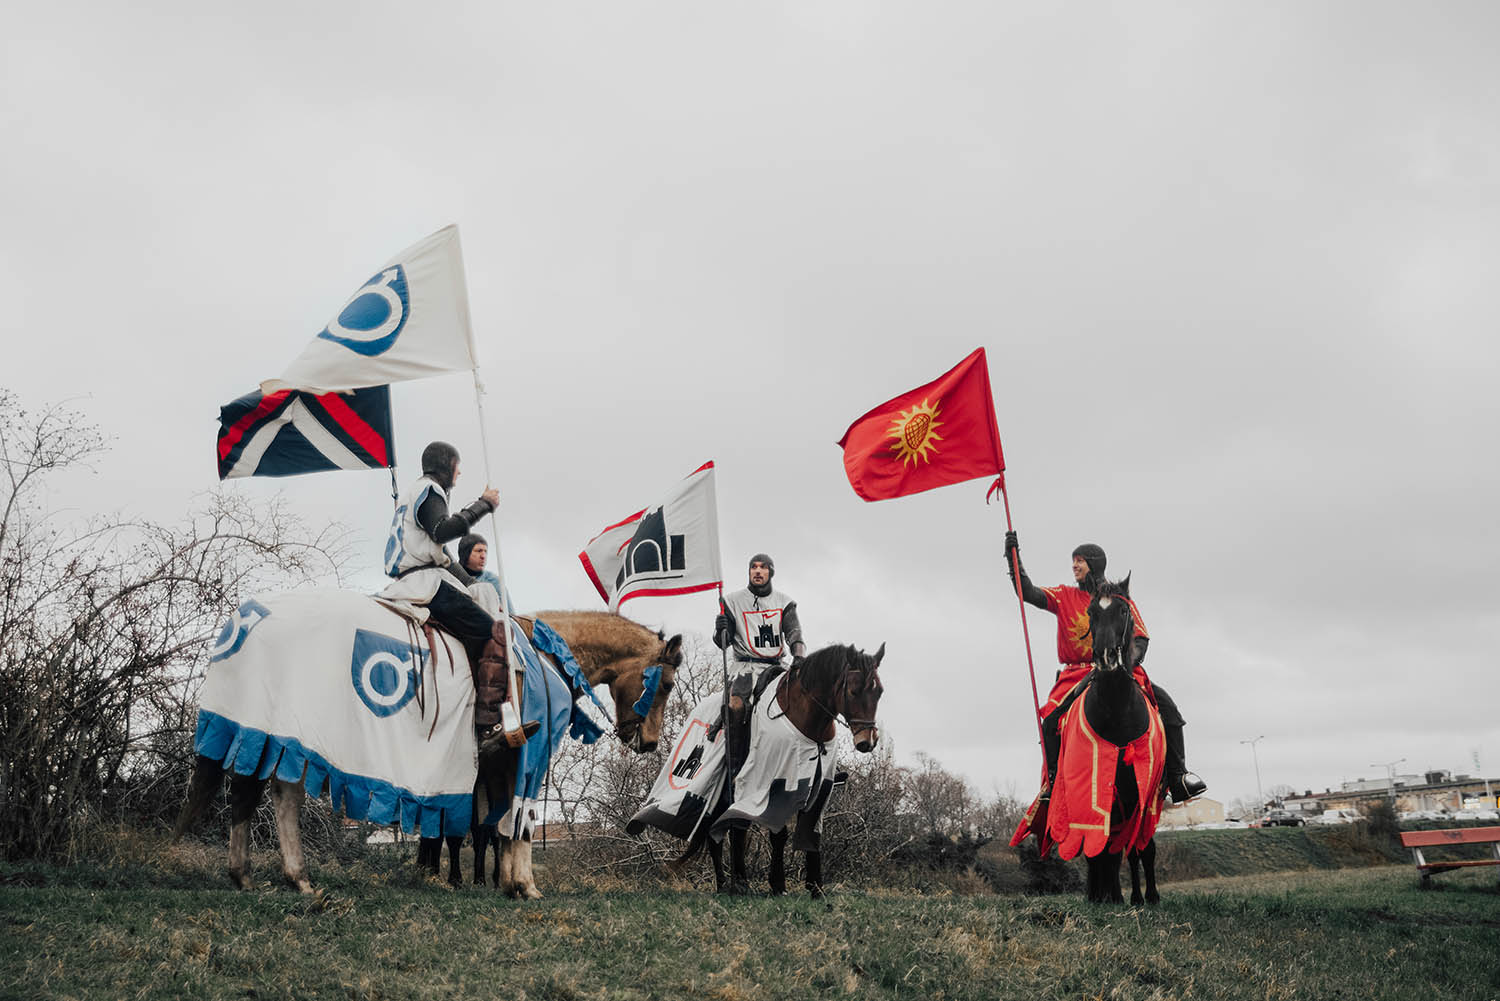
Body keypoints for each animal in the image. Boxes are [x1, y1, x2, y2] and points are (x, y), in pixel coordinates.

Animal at [174, 600, 681, 894]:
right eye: (667, 684)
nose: (649, 742)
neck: (546, 656)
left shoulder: (499, 767)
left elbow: (497, 825)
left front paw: (503, 883)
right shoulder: (529, 756)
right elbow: (519, 820)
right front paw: (524, 885)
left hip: (272, 730)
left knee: (261, 793)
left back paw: (261, 875)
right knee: (277, 795)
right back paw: (287, 876)